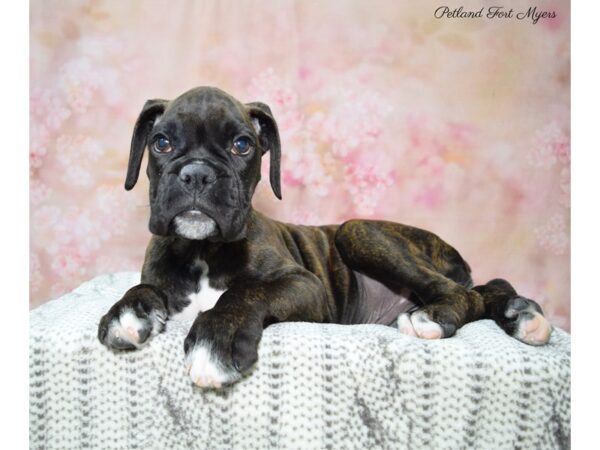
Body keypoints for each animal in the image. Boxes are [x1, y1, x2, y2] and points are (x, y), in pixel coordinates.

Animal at [98, 87, 552, 386]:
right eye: (161, 142)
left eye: (243, 145)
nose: (196, 174)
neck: (202, 249)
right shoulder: (160, 278)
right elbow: (142, 288)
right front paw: (126, 311)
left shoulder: (305, 285)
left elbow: (244, 292)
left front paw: (217, 339)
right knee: (486, 289)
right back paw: (521, 315)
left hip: (358, 230)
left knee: (466, 293)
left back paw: (436, 319)